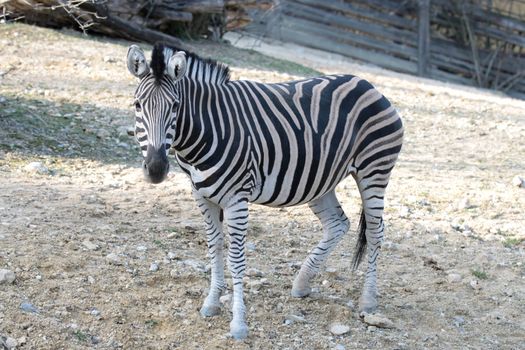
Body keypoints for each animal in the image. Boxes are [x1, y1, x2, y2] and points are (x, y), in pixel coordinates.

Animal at [126, 43, 402, 340]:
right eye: (138, 105)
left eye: (176, 106)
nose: (156, 169)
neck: (206, 131)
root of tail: (367, 84)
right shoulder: (202, 196)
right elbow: (214, 248)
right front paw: (212, 303)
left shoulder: (237, 199)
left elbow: (236, 259)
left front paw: (238, 323)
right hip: (319, 180)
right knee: (338, 223)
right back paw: (302, 283)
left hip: (374, 171)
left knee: (375, 231)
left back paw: (368, 300)